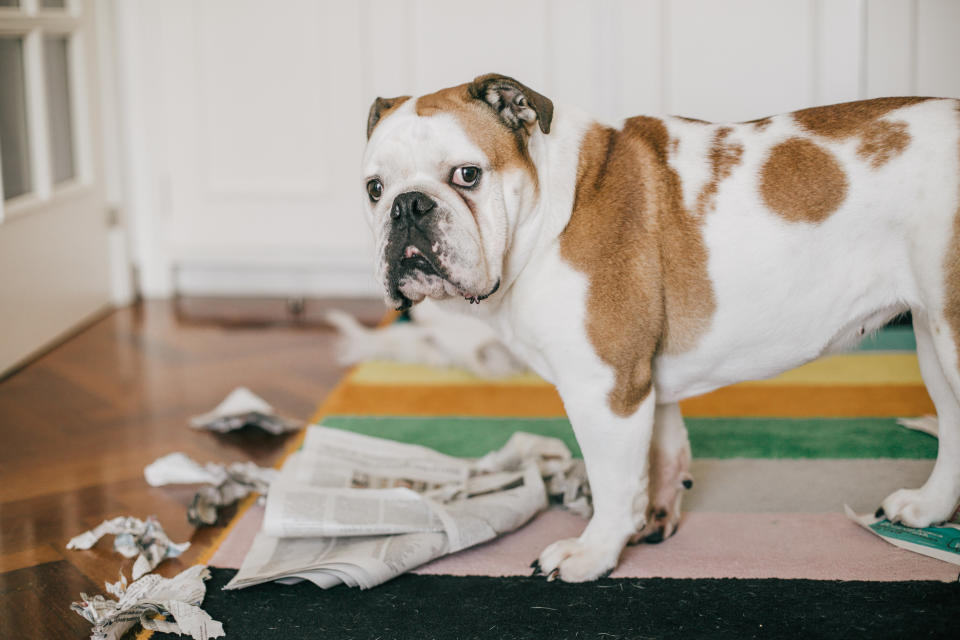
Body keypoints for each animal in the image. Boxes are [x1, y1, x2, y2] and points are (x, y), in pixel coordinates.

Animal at [362, 72, 960, 584]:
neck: (552, 209)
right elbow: (660, 452)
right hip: (933, 340)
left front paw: (594, 552)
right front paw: (653, 516)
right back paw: (927, 507)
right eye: (374, 188)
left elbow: (612, 480)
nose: (408, 206)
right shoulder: (642, 381)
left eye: (468, 175)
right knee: (953, 426)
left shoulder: (604, 387)